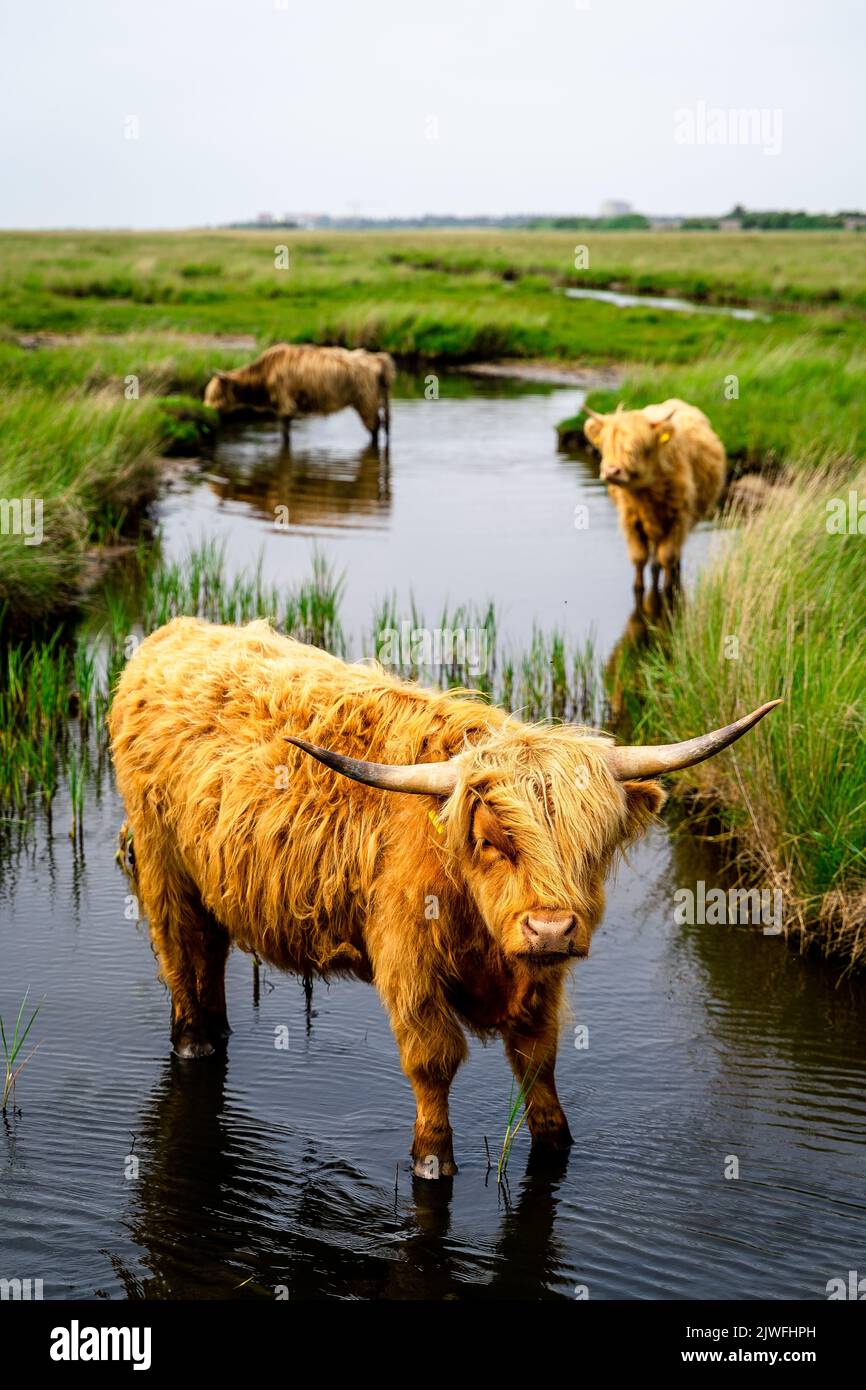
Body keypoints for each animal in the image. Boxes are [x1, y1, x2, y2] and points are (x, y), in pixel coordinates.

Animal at [109, 617, 778, 1178]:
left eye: (595, 840)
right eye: (490, 840)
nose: (551, 928)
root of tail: (173, 634)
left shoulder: (539, 982)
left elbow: (539, 1061)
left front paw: (556, 1142)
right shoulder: (408, 964)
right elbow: (432, 1062)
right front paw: (431, 1161)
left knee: (212, 953)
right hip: (161, 863)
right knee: (181, 952)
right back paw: (195, 1041)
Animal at [204, 344, 396, 448]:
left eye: (216, 394)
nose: (205, 410)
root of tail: (378, 358)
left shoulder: (285, 403)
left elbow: (285, 433)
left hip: (366, 401)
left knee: (374, 426)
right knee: (384, 425)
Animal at [583, 398, 726, 592]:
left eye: (638, 446)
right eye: (606, 445)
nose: (612, 471)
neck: (646, 494)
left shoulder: (679, 518)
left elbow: (668, 555)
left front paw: (667, 588)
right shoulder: (630, 520)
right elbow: (639, 557)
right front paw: (638, 587)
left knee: (671, 555)